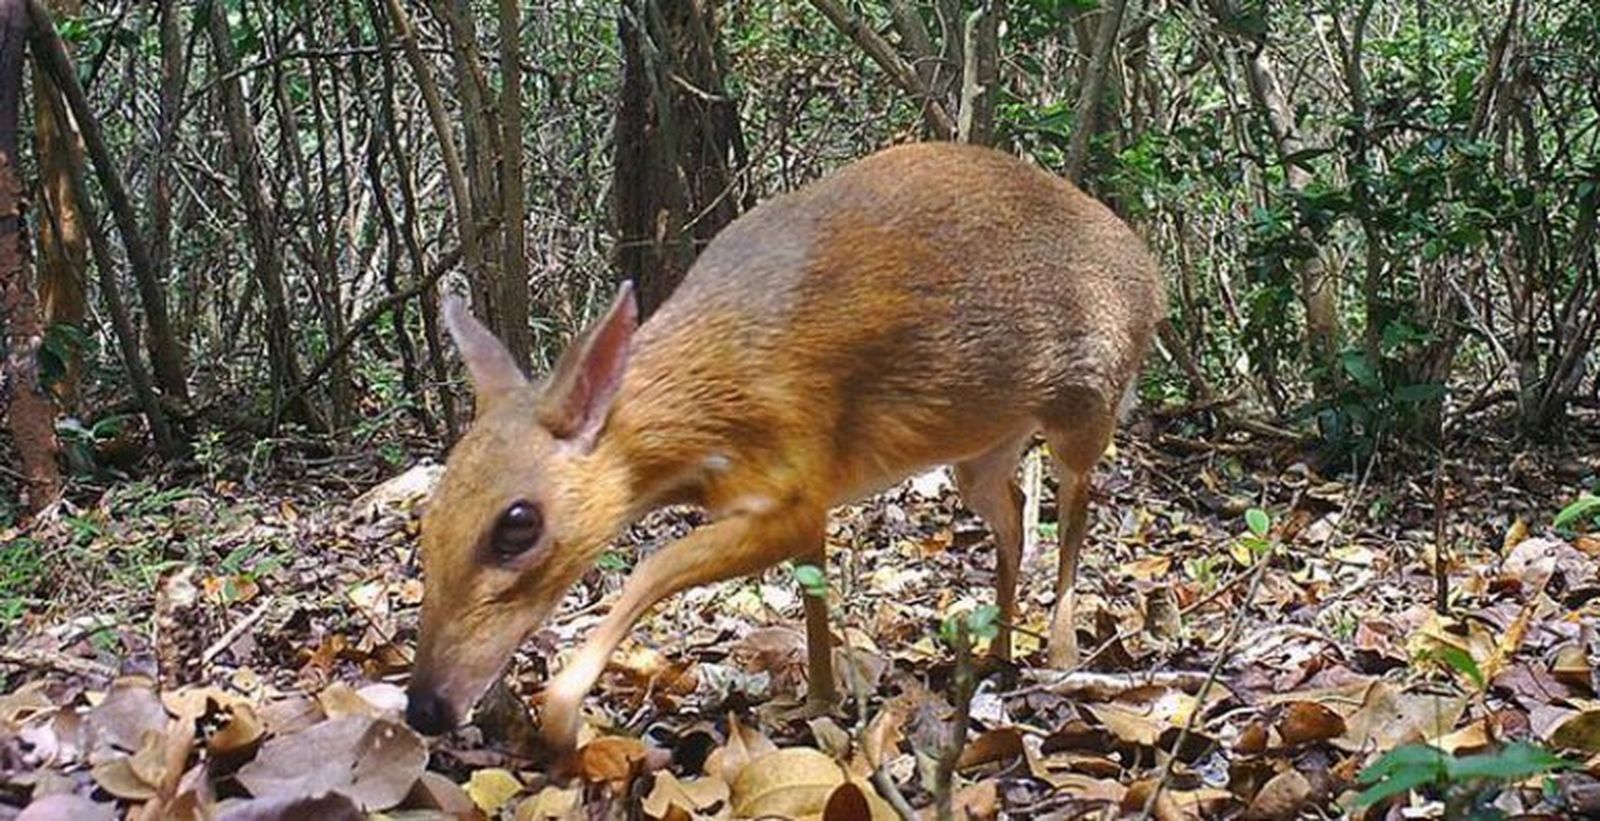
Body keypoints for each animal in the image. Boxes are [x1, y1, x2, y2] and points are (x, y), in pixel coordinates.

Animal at [403, 142, 1167, 766]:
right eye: (428, 519)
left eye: (517, 524)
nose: (425, 706)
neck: (711, 398)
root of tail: (1151, 269)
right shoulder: (810, 496)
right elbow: (811, 588)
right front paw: (819, 701)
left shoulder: (792, 481)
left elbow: (654, 565)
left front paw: (562, 716)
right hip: (980, 449)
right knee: (1009, 511)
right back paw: (996, 654)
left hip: (1087, 404)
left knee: (1074, 510)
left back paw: (1059, 654)